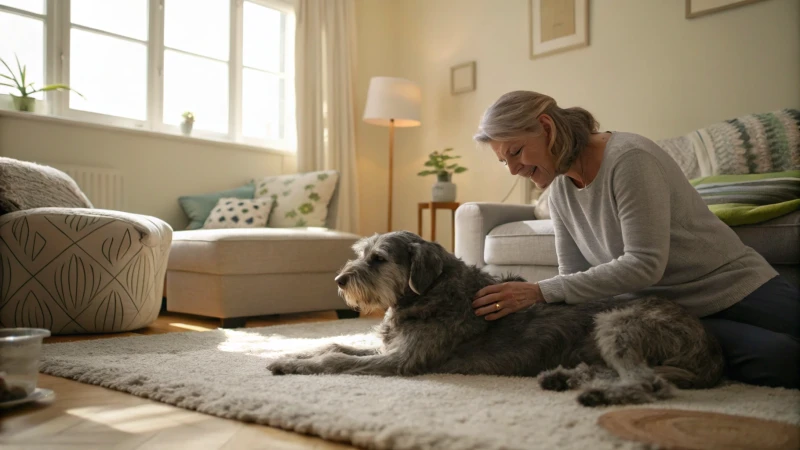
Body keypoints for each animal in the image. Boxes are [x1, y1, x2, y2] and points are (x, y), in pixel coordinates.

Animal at [268, 232, 724, 408]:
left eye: (378, 259)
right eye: (362, 252)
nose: (339, 280)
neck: (430, 293)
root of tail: (710, 349)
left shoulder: (400, 361)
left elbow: (335, 360)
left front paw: (294, 364)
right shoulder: (388, 349)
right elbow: (332, 344)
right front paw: (290, 356)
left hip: (616, 325)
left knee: (648, 382)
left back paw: (595, 394)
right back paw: (565, 378)